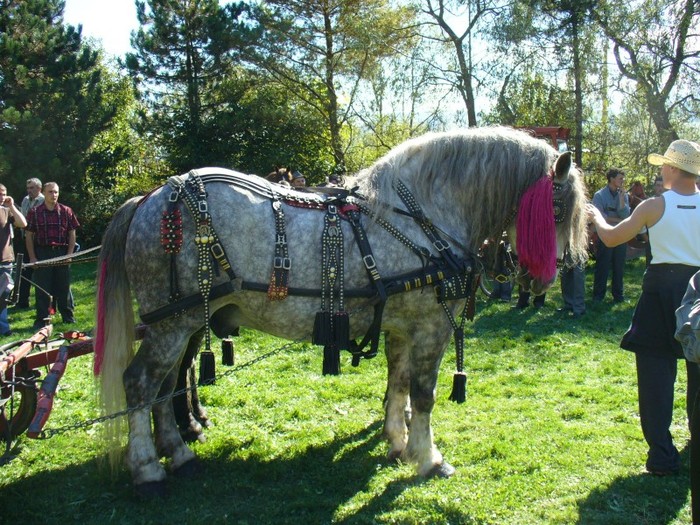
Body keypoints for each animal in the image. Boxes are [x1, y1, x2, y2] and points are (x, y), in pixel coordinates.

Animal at [94, 127, 584, 496]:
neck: (422, 216)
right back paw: (148, 468)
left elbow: (398, 384)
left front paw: (397, 442)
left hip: (183, 322)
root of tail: (149, 197)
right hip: (174, 322)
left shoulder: (401, 327)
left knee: (168, 385)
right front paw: (428, 458)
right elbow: (423, 395)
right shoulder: (430, 327)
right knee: (142, 383)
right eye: (560, 207)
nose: (553, 273)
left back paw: (179, 451)